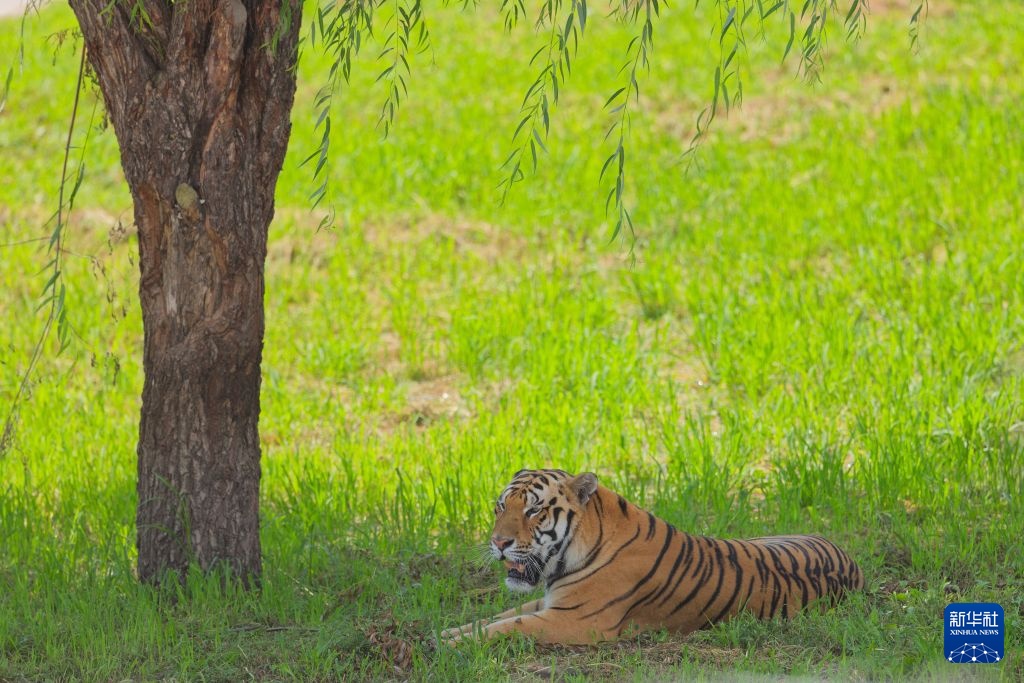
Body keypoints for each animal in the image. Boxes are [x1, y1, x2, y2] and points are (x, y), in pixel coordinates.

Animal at [442, 469, 864, 645]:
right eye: (501, 507)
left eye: (533, 510)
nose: (498, 542)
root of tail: (851, 561)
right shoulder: (549, 602)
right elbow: (498, 616)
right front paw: (448, 632)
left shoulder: (575, 621)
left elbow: (508, 626)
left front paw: (450, 644)